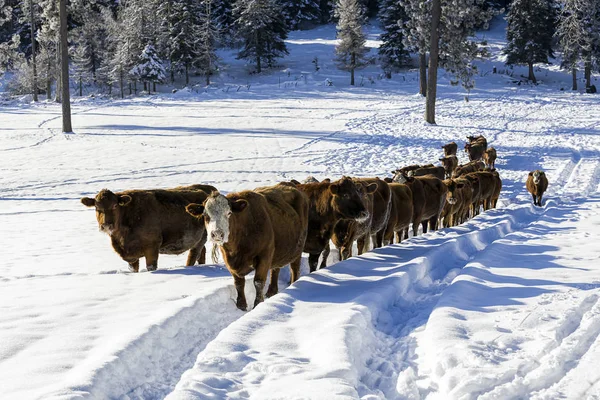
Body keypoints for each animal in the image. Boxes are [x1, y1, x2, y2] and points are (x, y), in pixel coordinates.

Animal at [81, 184, 217, 272]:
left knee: (193, 255)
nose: (106, 225)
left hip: (200, 240)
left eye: (115, 206)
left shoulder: (152, 248)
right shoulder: (131, 257)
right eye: (97, 208)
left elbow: (151, 267)